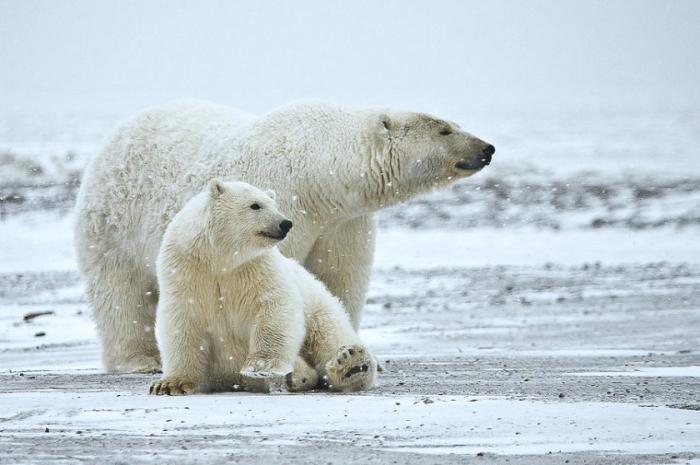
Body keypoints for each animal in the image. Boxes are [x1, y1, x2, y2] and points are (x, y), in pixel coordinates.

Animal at [74, 99, 494, 372]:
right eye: (444, 128)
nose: (487, 148)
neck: (321, 173)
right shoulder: (285, 204)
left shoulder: (343, 222)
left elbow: (339, 279)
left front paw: (352, 352)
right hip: (113, 224)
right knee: (120, 293)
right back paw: (139, 361)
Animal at [149, 179, 378, 394]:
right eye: (255, 205)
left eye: (274, 204)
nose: (286, 223)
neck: (219, 259)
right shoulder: (185, 271)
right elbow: (182, 321)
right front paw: (170, 384)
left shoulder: (256, 267)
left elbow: (273, 305)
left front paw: (261, 366)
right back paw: (301, 374)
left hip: (318, 305)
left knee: (329, 334)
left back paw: (351, 364)